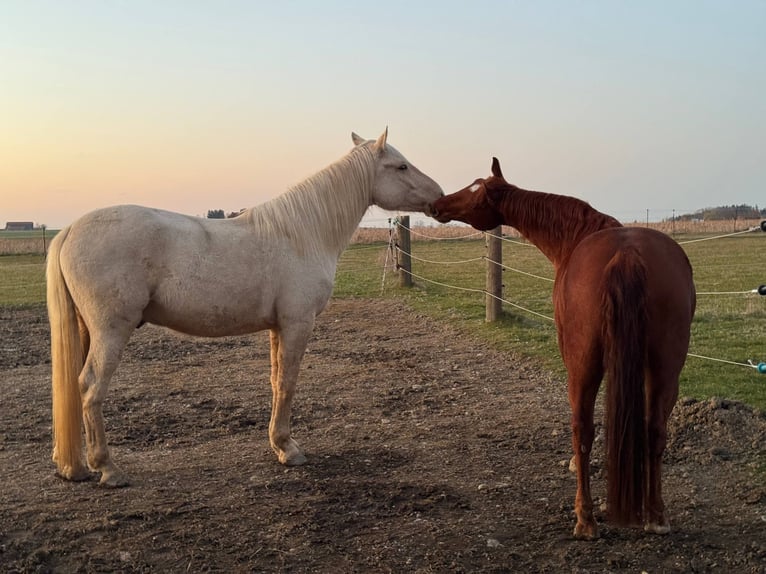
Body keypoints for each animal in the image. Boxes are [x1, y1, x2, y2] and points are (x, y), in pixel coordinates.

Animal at [47, 129, 444, 487]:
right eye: (401, 166)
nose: (440, 198)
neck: (301, 234)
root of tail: (69, 230)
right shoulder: (297, 324)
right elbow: (288, 383)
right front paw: (289, 450)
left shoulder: (277, 327)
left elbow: (275, 381)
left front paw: (279, 444)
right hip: (111, 331)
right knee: (90, 387)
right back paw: (108, 468)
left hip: (86, 330)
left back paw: (77, 466)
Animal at [431, 158, 695, 539]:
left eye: (474, 188)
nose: (436, 204)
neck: (575, 237)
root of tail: (627, 253)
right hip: (665, 369)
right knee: (655, 431)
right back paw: (656, 516)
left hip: (583, 367)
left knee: (582, 429)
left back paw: (585, 519)